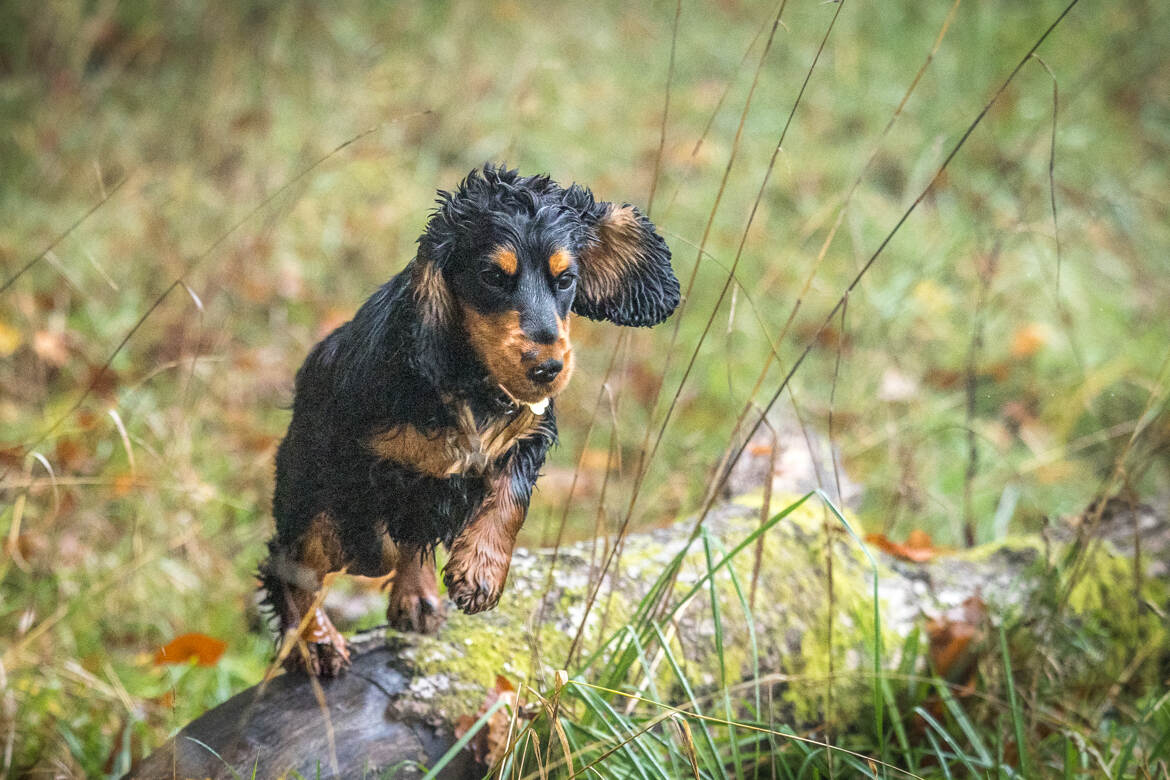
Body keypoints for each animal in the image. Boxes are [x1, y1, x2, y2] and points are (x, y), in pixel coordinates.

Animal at [256, 166, 678, 678]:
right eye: (493, 276)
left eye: (566, 279)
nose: (547, 368)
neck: (472, 381)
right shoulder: (353, 458)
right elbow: (374, 538)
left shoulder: (528, 433)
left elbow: (507, 499)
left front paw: (480, 573)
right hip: (303, 479)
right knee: (293, 558)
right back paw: (316, 643)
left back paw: (416, 597)